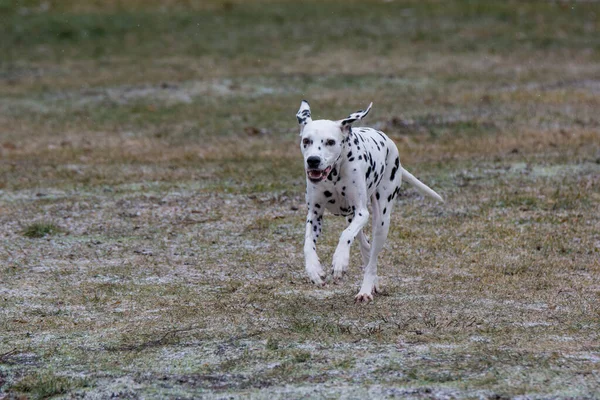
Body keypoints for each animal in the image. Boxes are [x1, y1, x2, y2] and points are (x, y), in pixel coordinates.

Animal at [298, 100, 442, 304]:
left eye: (330, 142)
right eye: (306, 141)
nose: (313, 160)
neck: (334, 174)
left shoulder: (361, 212)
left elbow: (344, 235)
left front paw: (339, 261)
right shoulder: (315, 214)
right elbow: (308, 242)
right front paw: (314, 270)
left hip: (381, 221)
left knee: (372, 256)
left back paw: (365, 289)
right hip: (350, 217)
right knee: (365, 246)